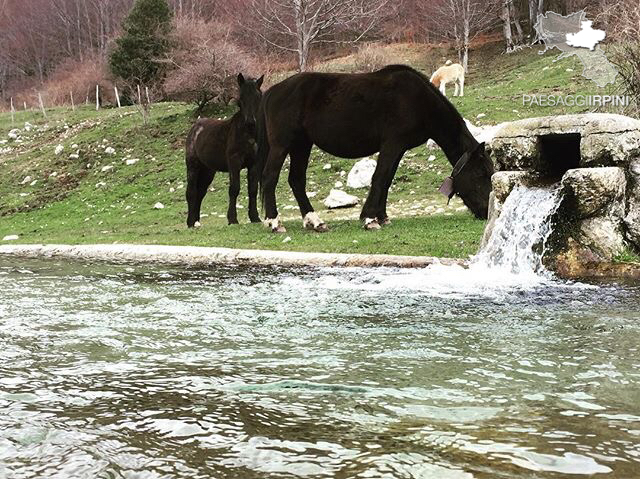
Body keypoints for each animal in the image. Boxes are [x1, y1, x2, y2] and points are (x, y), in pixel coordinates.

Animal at [186, 74, 264, 228]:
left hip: (208, 171)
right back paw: (191, 222)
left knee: (200, 193)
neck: (247, 134)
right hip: (193, 167)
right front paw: (232, 219)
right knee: (191, 192)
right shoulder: (234, 162)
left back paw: (197, 222)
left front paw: (255, 217)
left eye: (258, 96)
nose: (251, 122)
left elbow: (252, 189)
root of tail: (195, 128)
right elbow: (234, 189)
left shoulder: (254, 164)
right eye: (241, 98)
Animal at [256, 64, 496, 233]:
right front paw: (370, 219)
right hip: (282, 145)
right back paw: (274, 222)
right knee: (270, 177)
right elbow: (380, 177)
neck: (419, 101)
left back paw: (314, 221)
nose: (487, 212)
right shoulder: (392, 144)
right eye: (482, 174)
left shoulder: (399, 149)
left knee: (296, 180)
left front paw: (382, 216)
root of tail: (273, 91)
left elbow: (387, 179)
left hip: (302, 145)